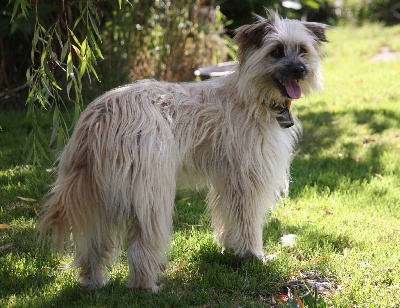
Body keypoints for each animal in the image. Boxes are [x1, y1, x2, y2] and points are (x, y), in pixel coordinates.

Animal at [37, 11, 326, 292]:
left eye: (302, 50)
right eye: (276, 51)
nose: (300, 70)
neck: (253, 96)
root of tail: (100, 117)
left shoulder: (227, 181)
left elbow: (228, 218)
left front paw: (230, 250)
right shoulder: (246, 180)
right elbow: (246, 222)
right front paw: (252, 255)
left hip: (99, 195)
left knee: (93, 244)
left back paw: (92, 282)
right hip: (151, 194)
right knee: (141, 246)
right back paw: (146, 286)